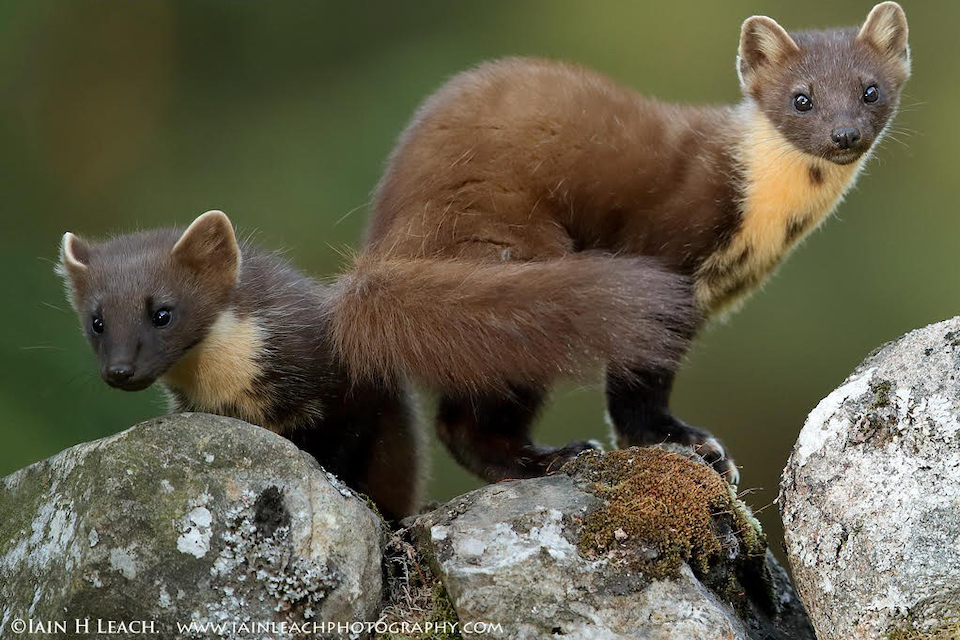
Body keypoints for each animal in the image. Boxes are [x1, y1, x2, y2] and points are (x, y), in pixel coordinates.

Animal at [329, 2, 911, 484]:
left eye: (870, 90)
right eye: (801, 99)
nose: (844, 134)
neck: (763, 226)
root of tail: (385, 244)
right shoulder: (663, 259)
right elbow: (639, 381)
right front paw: (689, 442)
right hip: (511, 262)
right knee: (471, 416)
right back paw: (549, 458)